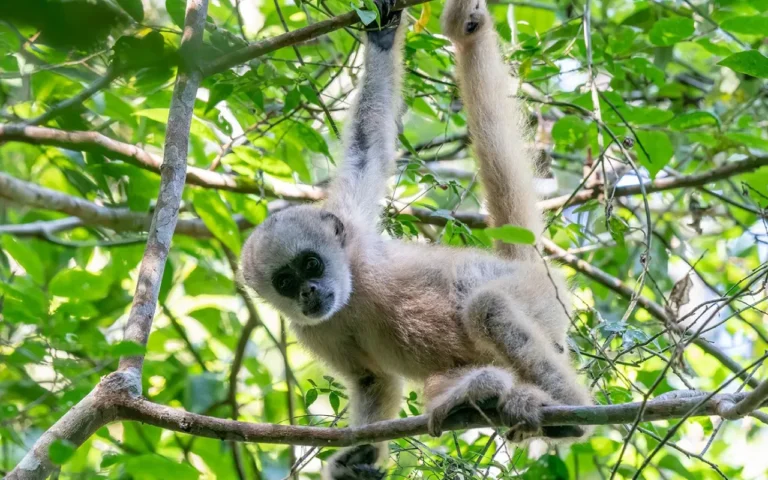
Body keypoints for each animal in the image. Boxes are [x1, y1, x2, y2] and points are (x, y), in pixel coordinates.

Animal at [240, 0, 592, 476]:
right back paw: (481, 395)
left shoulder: (352, 228)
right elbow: (371, 380)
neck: (352, 292)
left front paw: (381, 36)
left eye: (311, 263)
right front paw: (359, 459)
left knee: (486, 302)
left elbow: (368, 147)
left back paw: (567, 412)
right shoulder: (312, 328)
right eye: (285, 283)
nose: (310, 291)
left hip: (535, 294)